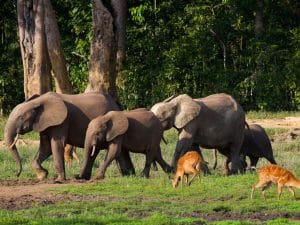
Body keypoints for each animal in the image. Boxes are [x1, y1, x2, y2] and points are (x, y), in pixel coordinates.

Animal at [3, 91, 134, 183]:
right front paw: (42, 175)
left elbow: (56, 144)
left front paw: (58, 180)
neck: (38, 102)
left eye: (20, 118)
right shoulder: (45, 123)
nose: (17, 174)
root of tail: (117, 105)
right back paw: (128, 175)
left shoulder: (62, 122)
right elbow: (46, 147)